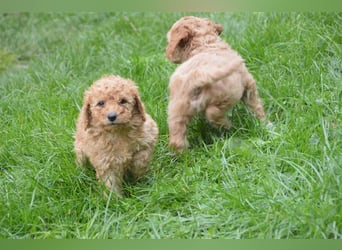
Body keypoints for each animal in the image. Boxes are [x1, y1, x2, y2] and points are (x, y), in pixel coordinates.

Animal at [166, 16, 268, 152]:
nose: (167, 54)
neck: (206, 44)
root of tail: (196, 76)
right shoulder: (249, 84)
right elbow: (256, 106)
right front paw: (264, 123)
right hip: (228, 95)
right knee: (213, 113)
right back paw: (227, 126)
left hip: (176, 110)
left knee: (176, 137)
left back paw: (183, 153)